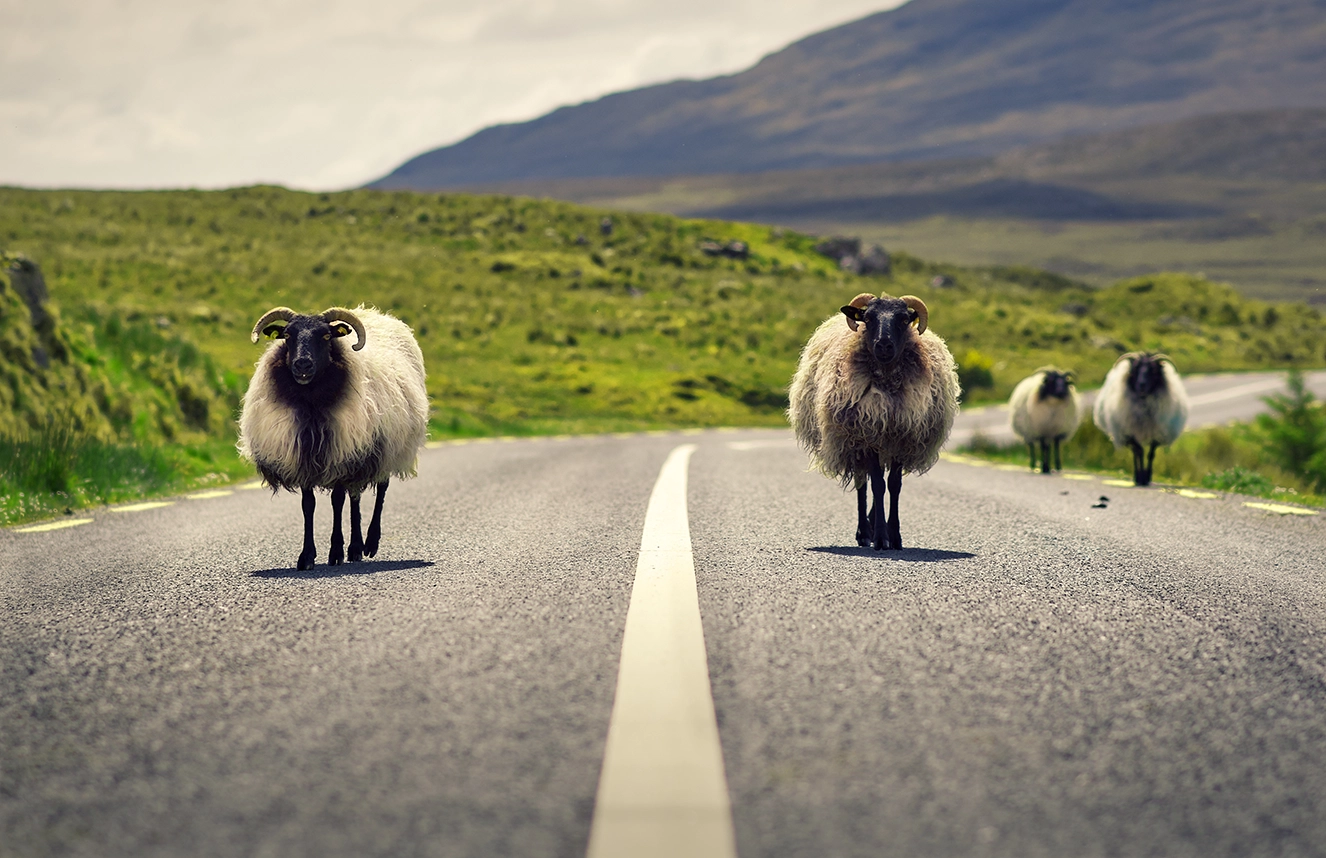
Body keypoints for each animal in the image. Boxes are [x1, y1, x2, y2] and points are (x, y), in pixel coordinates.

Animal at [238, 306, 428, 570]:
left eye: (326, 336)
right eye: (287, 335)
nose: (302, 365)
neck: (312, 405)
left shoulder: (341, 454)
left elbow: (337, 501)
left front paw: (336, 552)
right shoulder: (305, 458)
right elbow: (308, 506)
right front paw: (307, 556)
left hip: (388, 447)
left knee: (380, 490)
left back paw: (369, 544)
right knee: (356, 497)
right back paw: (356, 548)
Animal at [788, 292, 960, 551]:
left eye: (903, 319)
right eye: (868, 319)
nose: (884, 345)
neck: (887, 384)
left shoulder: (901, 438)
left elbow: (894, 486)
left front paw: (895, 535)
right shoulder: (866, 436)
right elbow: (877, 485)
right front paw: (880, 538)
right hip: (854, 444)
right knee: (863, 484)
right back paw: (864, 532)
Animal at [1092, 351, 1189, 486]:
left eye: (1153, 370)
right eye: (1135, 369)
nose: (1142, 385)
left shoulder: (1156, 434)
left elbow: (1150, 455)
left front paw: (1147, 477)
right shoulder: (1131, 432)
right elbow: (1139, 452)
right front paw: (1140, 478)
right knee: (1135, 453)